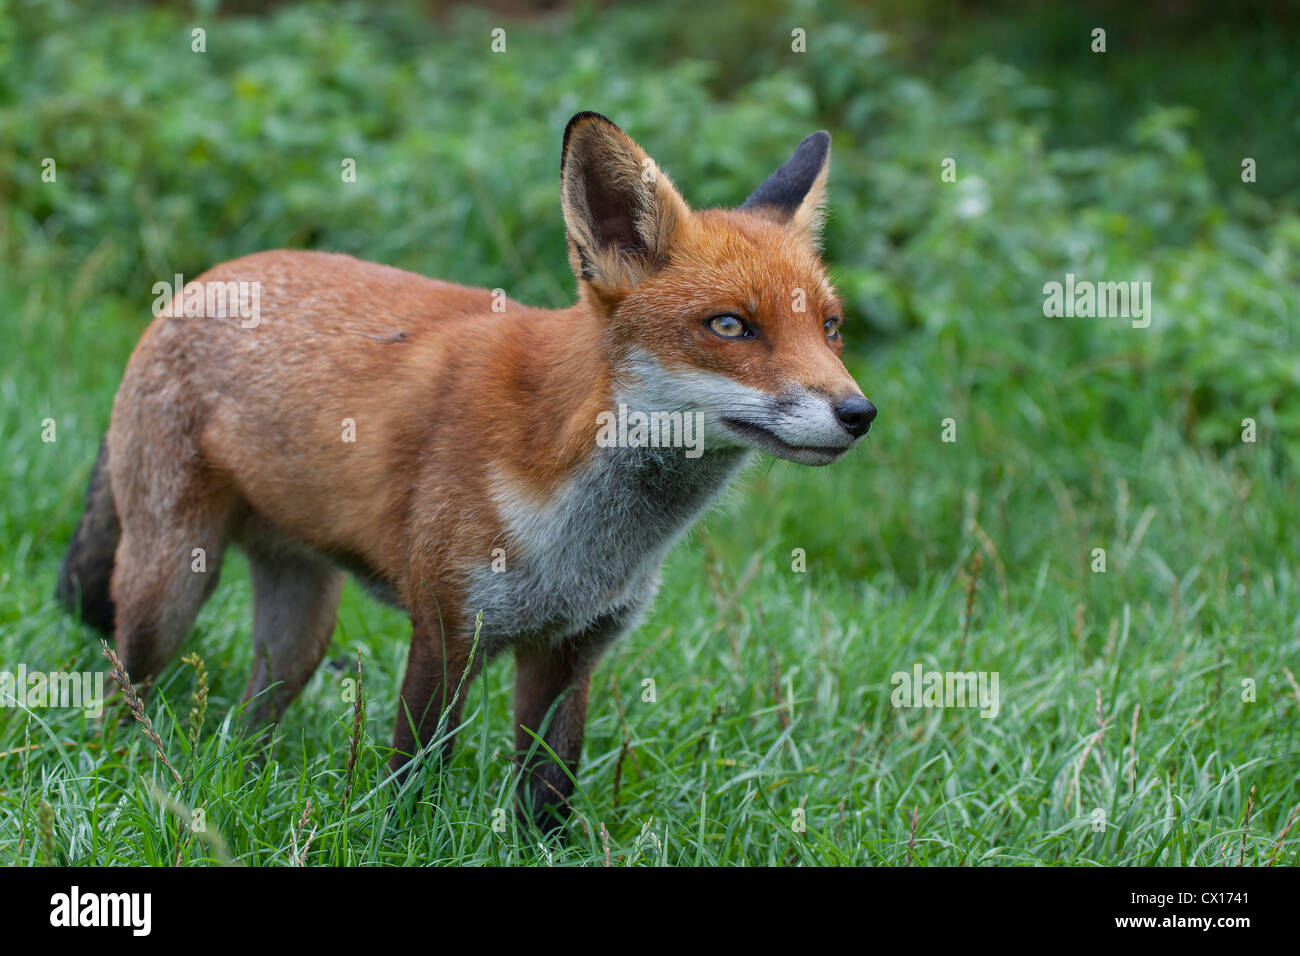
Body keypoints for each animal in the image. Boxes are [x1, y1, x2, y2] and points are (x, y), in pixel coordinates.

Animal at [58, 111, 873, 832]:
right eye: (731, 326)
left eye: (831, 327)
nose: (859, 413)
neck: (588, 531)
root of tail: (203, 281)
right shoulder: (448, 626)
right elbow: (414, 776)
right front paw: (398, 840)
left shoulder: (572, 649)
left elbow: (549, 796)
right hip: (168, 587)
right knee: (121, 696)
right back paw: (127, 772)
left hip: (301, 628)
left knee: (248, 721)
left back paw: (239, 779)